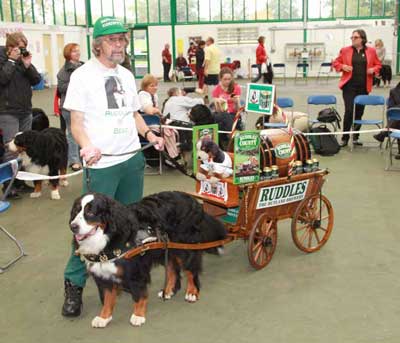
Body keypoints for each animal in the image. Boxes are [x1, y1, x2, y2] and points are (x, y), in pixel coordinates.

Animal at [69, 192, 227, 330]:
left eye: (90, 212)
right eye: (76, 211)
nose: (73, 226)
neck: (108, 238)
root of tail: (193, 200)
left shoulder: (136, 272)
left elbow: (139, 296)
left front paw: (138, 315)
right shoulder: (103, 275)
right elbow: (108, 299)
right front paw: (104, 317)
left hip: (186, 247)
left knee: (191, 270)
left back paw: (192, 292)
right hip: (166, 247)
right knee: (172, 268)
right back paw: (168, 290)